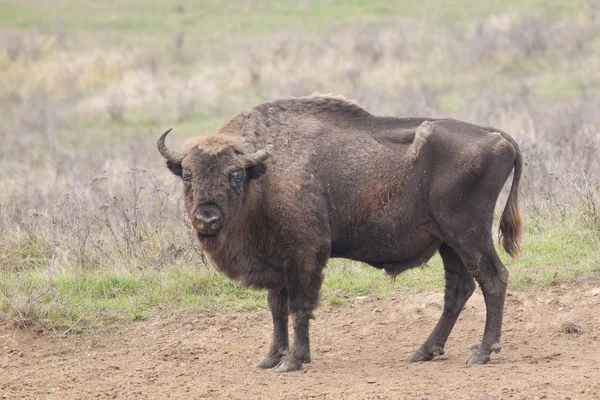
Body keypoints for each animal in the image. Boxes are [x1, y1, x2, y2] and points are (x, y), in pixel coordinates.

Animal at [157, 93, 524, 372]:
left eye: (234, 175)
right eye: (187, 175)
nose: (207, 218)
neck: (262, 174)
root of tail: (497, 136)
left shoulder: (306, 255)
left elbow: (299, 307)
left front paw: (293, 361)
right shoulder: (278, 263)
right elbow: (276, 309)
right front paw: (270, 358)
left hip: (467, 235)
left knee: (493, 280)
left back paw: (481, 352)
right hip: (449, 243)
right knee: (458, 290)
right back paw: (425, 351)